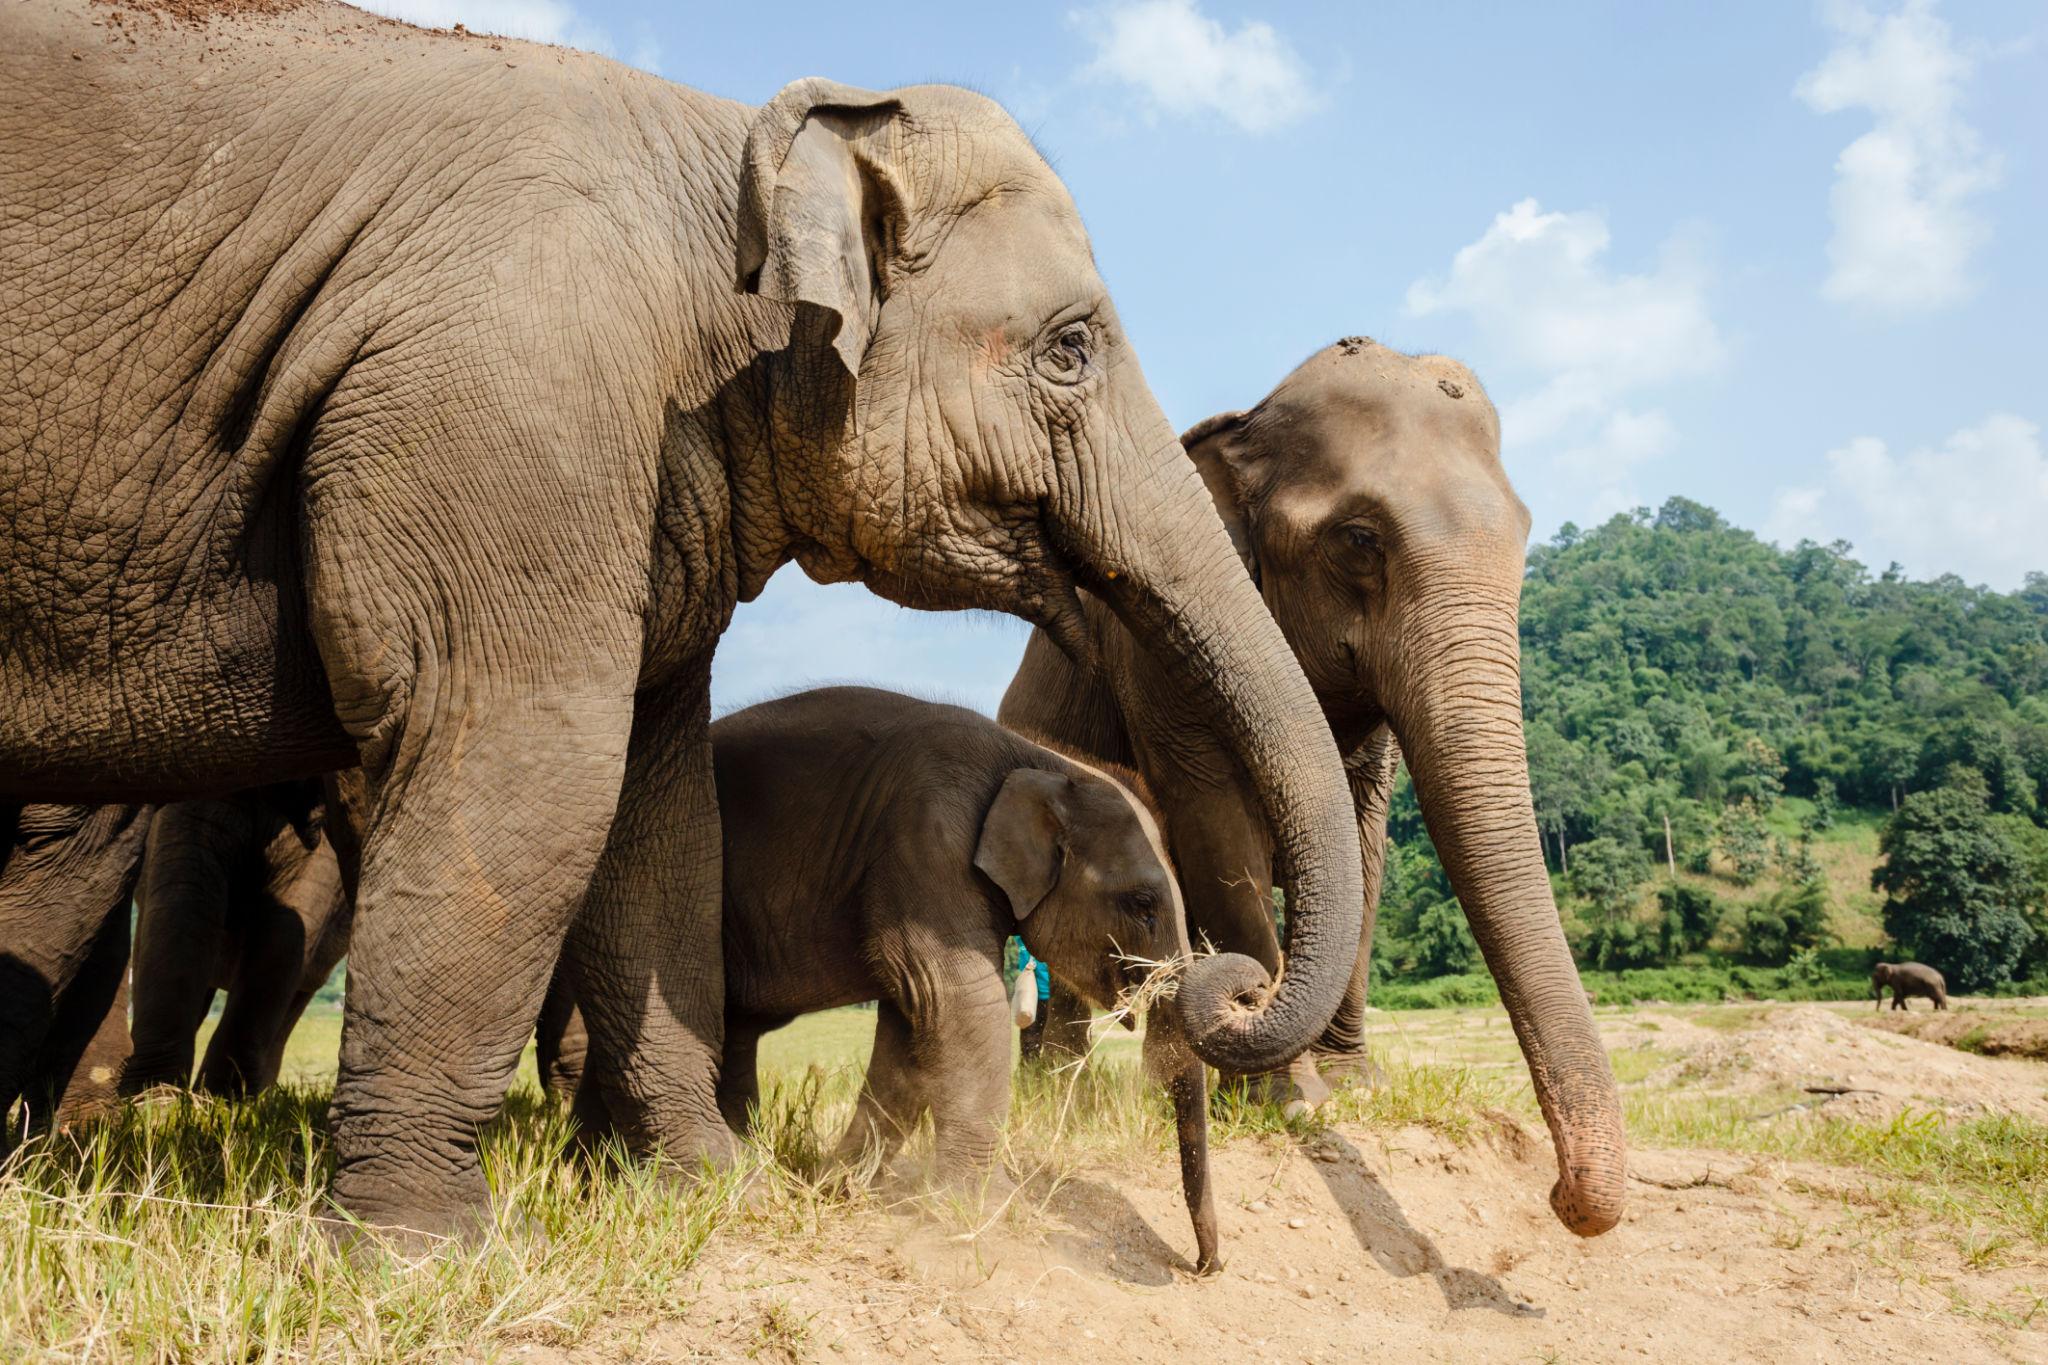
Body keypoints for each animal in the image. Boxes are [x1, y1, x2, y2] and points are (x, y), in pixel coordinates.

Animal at [711, 688, 1217, 1272]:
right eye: (1142, 904)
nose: (1200, 1266)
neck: (1039, 760)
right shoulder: (926, 844)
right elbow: (959, 1000)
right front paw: (990, 1214)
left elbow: (909, 1031)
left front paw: (838, 1190)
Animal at [1000, 337, 1627, 1238]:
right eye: (1359, 538)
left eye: (1525, 534)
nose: (1561, 1197)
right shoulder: (1154, 660)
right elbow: (1214, 819)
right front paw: (1289, 1102)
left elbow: (1365, 844)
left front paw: (1356, 1086)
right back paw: (1063, 1100)